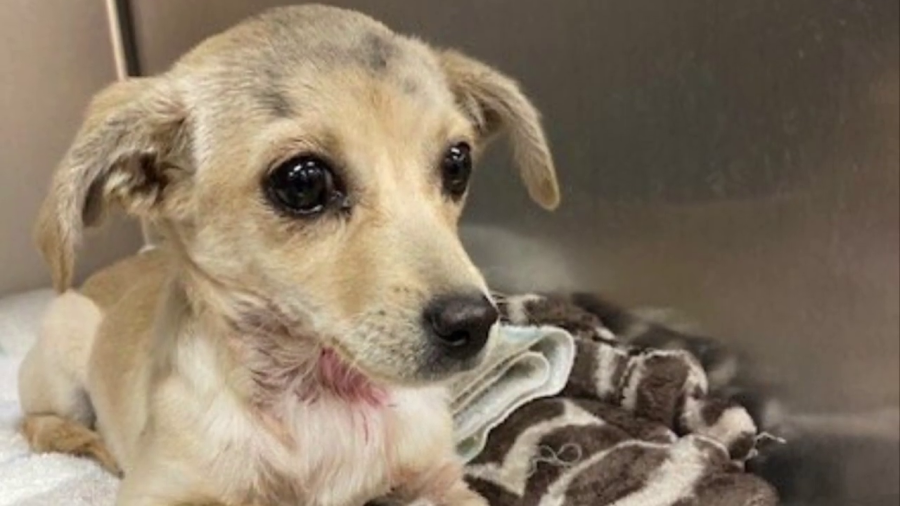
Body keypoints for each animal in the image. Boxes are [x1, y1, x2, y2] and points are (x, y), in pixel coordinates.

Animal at [17, 4, 560, 506]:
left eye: (457, 163)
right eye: (303, 182)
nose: (474, 323)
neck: (321, 394)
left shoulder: (440, 479)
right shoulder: (158, 490)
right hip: (63, 356)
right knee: (35, 422)